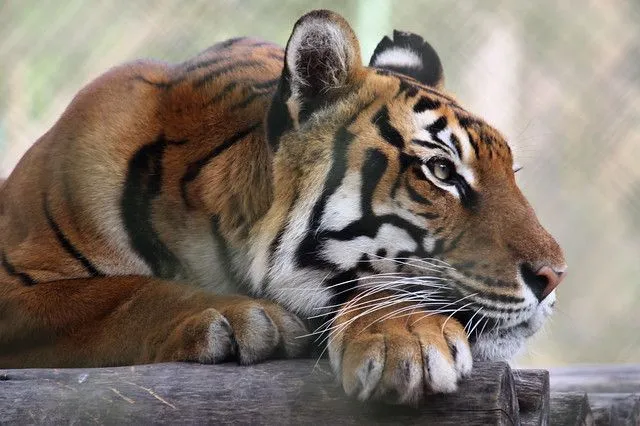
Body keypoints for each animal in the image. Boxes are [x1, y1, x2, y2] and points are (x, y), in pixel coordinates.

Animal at [0, 10, 565, 404]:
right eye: (442, 172)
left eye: (510, 174)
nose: (554, 276)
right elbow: (120, 292)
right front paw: (239, 317)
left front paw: (404, 337)